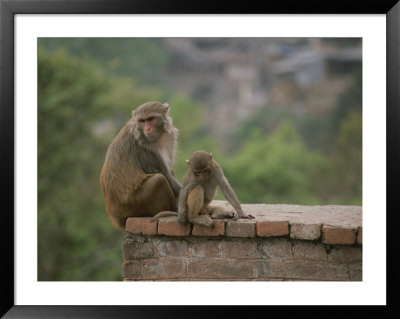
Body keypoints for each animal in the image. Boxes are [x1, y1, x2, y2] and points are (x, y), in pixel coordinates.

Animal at [100, 101, 181, 229]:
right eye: (142, 121)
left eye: (151, 119)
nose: (147, 129)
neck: (159, 137)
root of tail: (118, 218)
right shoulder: (142, 146)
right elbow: (162, 173)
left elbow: (169, 172)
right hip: (135, 204)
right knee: (159, 180)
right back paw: (173, 210)